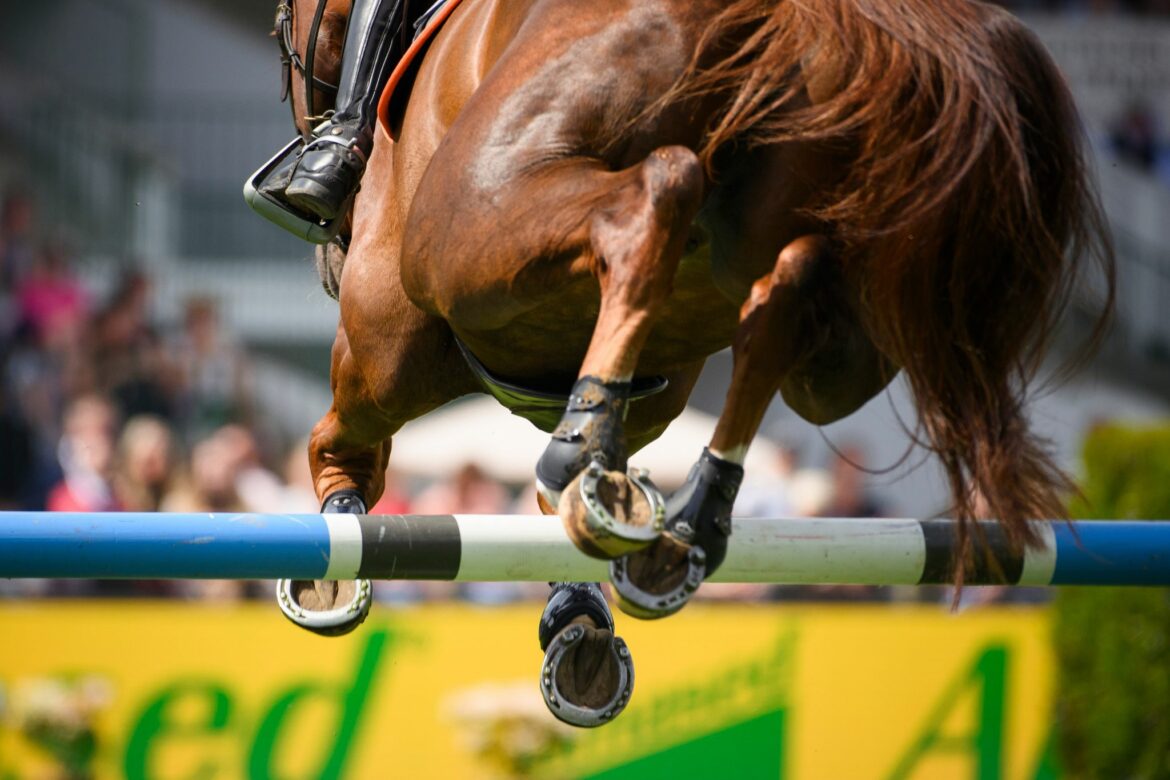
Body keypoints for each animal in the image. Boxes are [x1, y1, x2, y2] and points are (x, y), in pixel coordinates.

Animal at [271, 0, 1104, 725]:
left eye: (285, 26)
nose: (330, 252)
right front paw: (583, 602)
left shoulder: (384, 340)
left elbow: (337, 445)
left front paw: (331, 571)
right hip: (837, 288)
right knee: (786, 291)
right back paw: (692, 518)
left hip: (467, 224)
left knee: (654, 197)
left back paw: (598, 467)